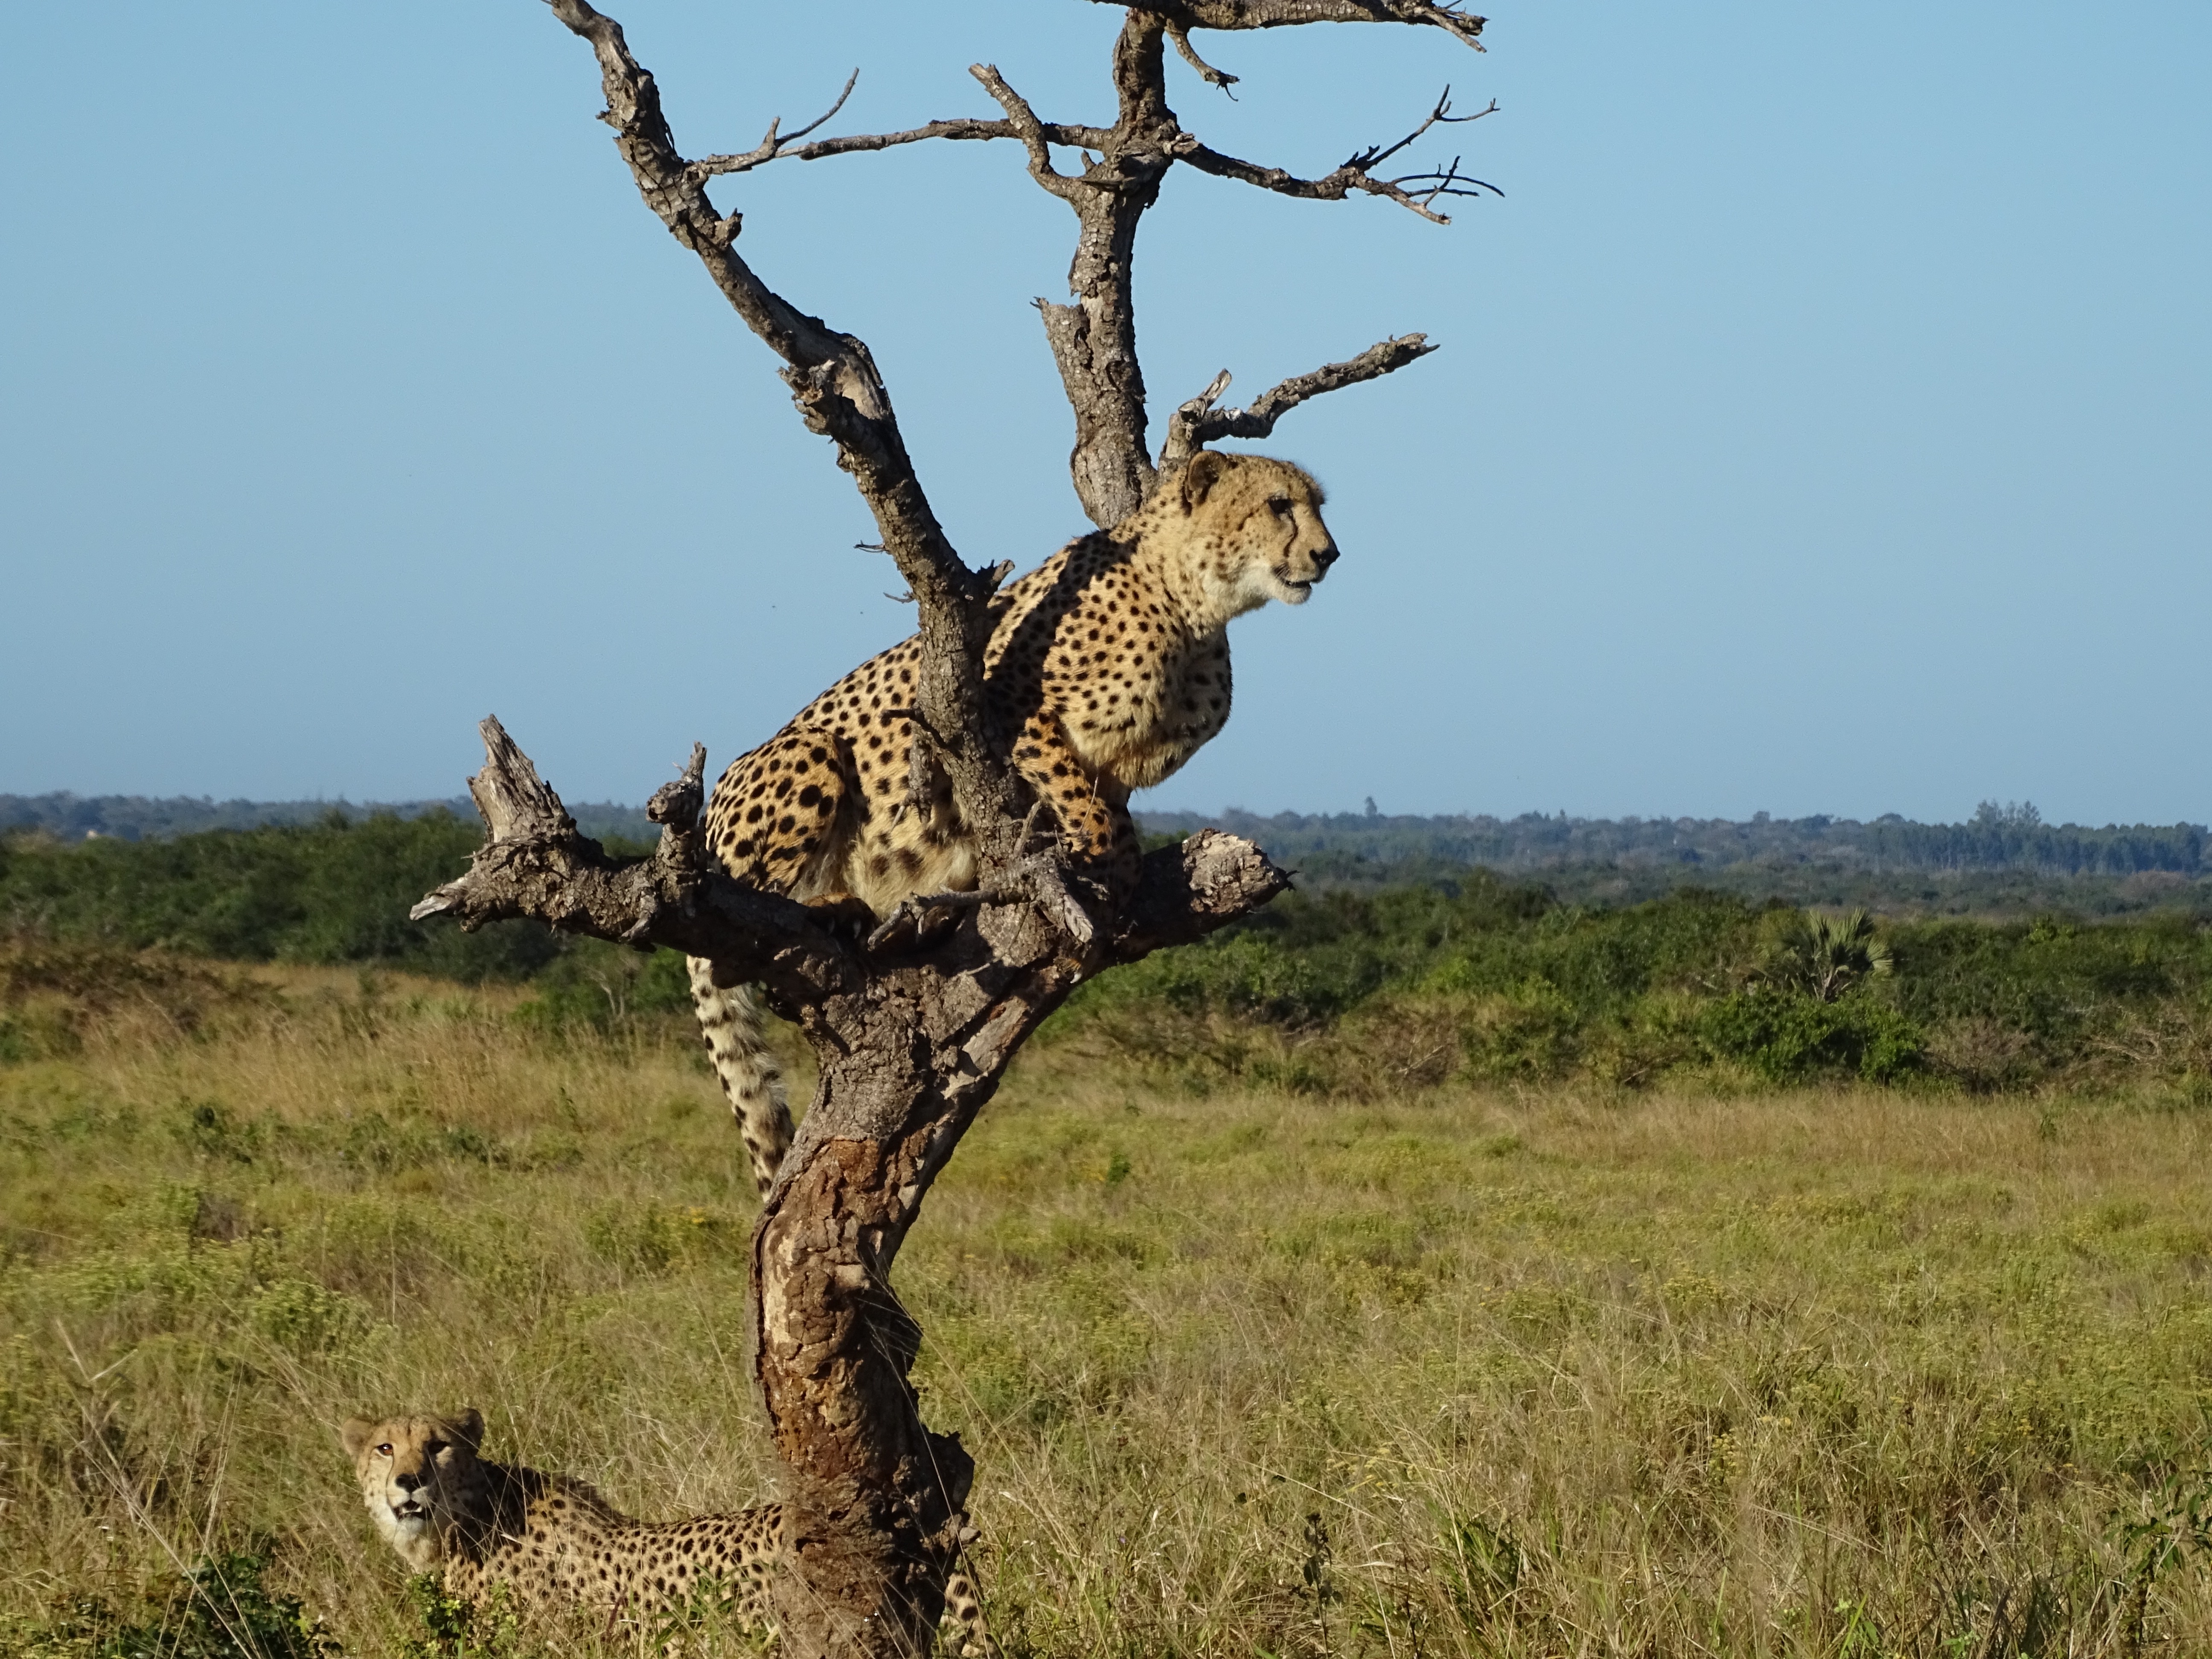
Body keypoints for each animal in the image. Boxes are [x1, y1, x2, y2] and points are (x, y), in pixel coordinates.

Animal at [688, 450, 1340, 1195]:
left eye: (1315, 505)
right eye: (1279, 505)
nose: (1329, 553)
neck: (1193, 602)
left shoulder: (1118, 765)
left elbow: (1109, 807)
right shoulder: (1004, 707)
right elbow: (1083, 803)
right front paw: (1099, 866)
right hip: (808, 754)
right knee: (744, 925)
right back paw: (832, 906)